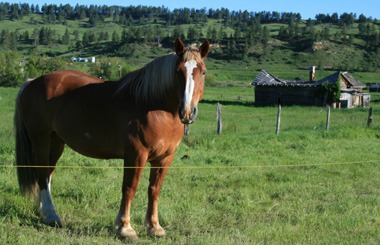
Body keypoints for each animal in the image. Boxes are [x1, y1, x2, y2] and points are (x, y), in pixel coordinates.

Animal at [14, 37, 209, 240]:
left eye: (203, 72)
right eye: (178, 71)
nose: (187, 112)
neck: (155, 107)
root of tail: (31, 83)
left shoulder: (165, 158)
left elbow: (154, 190)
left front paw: (154, 227)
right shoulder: (136, 155)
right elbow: (130, 188)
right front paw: (125, 228)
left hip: (56, 142)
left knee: (46, 174)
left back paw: (44, 212)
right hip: (41, 139)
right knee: (42, 173)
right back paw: (51, 216)